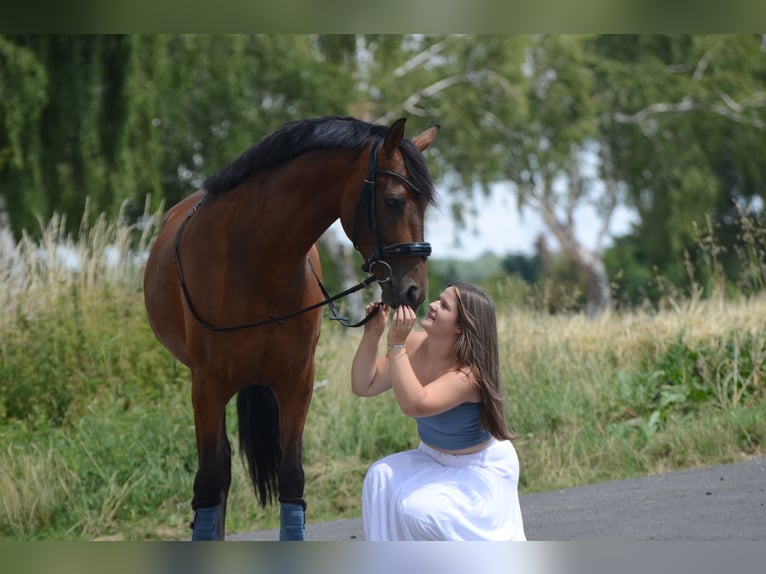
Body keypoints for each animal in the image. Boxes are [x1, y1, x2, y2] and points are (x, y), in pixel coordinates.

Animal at [143, 116, 439, 540]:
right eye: (393, 200)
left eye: (425, 204)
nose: (415, 291)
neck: (257, 261)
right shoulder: (207, 386)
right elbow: (209, 481)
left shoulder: (297, 382)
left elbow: (291, 477)